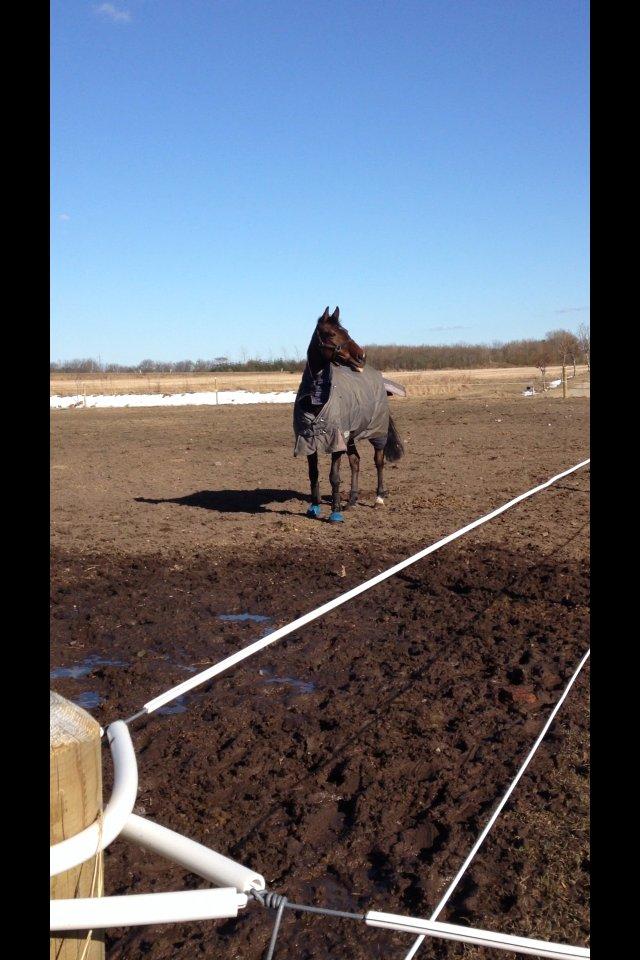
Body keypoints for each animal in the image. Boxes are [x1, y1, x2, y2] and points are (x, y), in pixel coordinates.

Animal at [292, 306, 402, 520]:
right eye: (330, 333)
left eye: (346, 331)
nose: (361, 356)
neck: (317, 400)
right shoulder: (308, 439)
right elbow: (314, 474)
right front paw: (314, 507)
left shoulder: (336, 440)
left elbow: (334, 476)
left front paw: (335, 512)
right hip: (350, 437)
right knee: (355, 462)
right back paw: (351, 500)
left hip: (377, 433)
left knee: (379, 462)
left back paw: (378, 498)